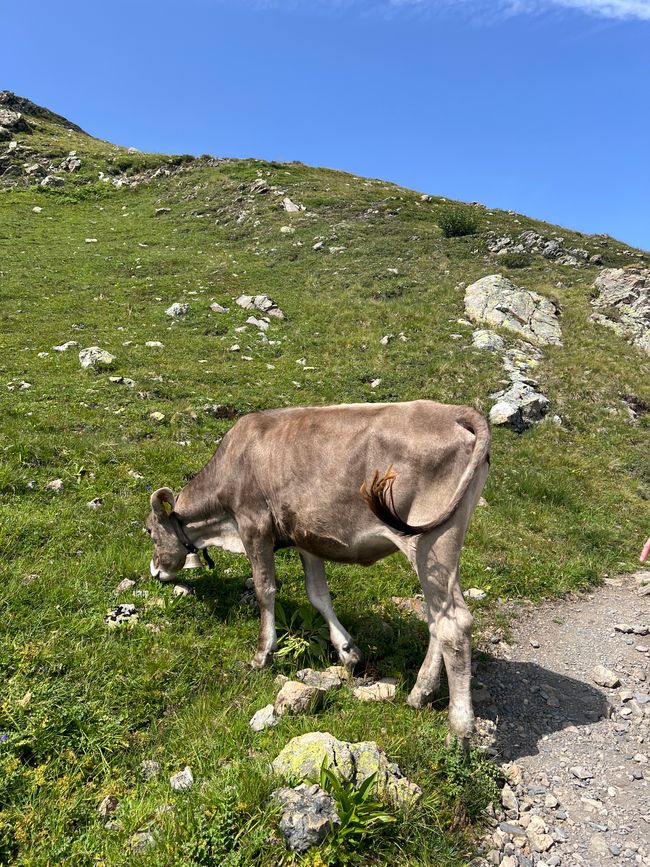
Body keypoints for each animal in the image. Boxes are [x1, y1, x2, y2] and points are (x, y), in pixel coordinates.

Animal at [145, 400, 490, 742]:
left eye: (149, 531)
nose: (154, 571)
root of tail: (455, 412)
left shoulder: (254, 525)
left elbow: (264, 589)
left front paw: (262, 654)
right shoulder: (306, 538)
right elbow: (318, 595)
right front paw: (348, 652)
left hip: (430, 542)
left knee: (454, 624)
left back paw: (459, 728)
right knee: (437, 618)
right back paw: (420, 693)